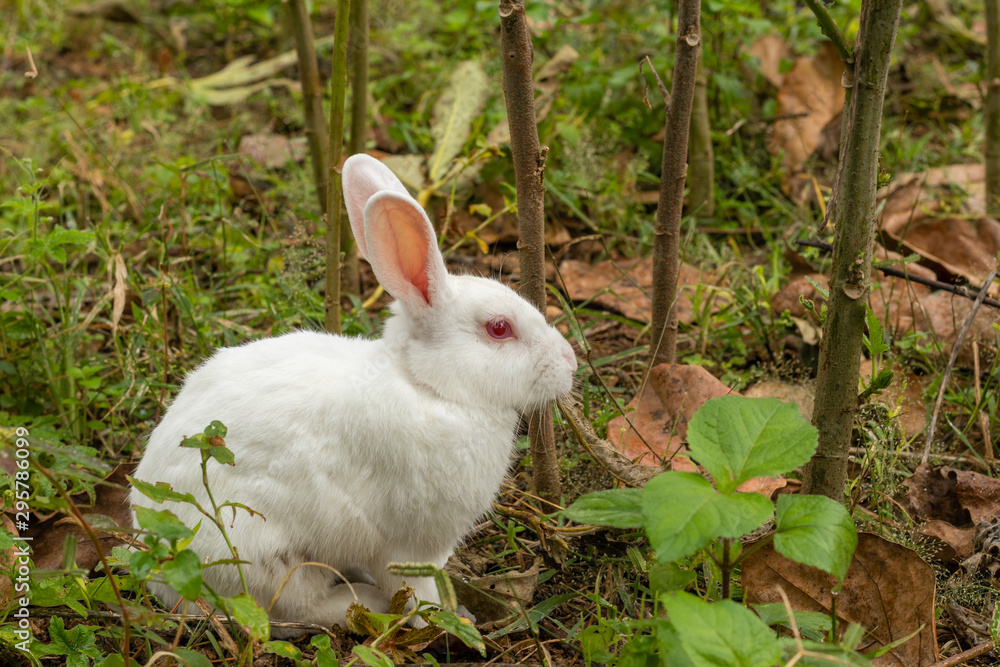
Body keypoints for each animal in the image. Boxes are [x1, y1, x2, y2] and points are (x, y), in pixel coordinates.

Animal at [130, 153, 578, 636]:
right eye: (499, 329)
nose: (570, 361)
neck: (429, 388)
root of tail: (160, 570)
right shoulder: (410, 545)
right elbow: (416, 589)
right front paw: (448, 619)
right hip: (269, 555)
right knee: (292, 610)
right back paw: (364, 601)